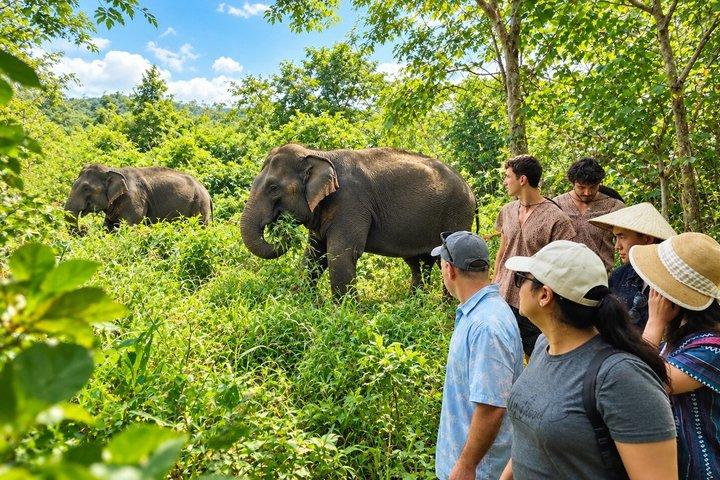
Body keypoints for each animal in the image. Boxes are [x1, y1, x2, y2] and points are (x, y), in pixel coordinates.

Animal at [65, 164, 212, 231]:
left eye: (86, 188)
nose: (84, 231)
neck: (113, 170)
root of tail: (208, 193)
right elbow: (108, 227)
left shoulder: (134, 199)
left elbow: (129, 226)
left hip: (200, 206)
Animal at [240, 143, 476, 297]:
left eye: (273, 188)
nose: (281, 226)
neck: (317, 154)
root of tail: (471, 190)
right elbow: (314, 255)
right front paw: (301, 303)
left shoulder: (350, 203)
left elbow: (341, 253)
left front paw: (342, 315)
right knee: (419, 261)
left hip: (457, 213)